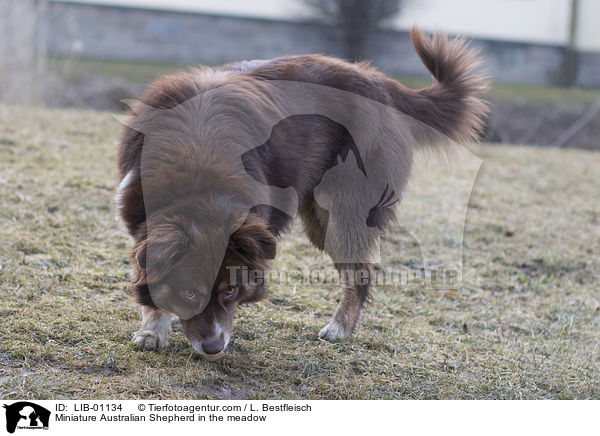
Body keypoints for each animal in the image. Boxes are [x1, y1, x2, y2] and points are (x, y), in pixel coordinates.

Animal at [116, 28, 488, 354]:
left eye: (231, 291)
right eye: (189, 293)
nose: (213, 348)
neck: (197, 170)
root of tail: (378, 82)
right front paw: (153, 329)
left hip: (343, 214)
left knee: (361, 273)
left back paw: (340, 328)